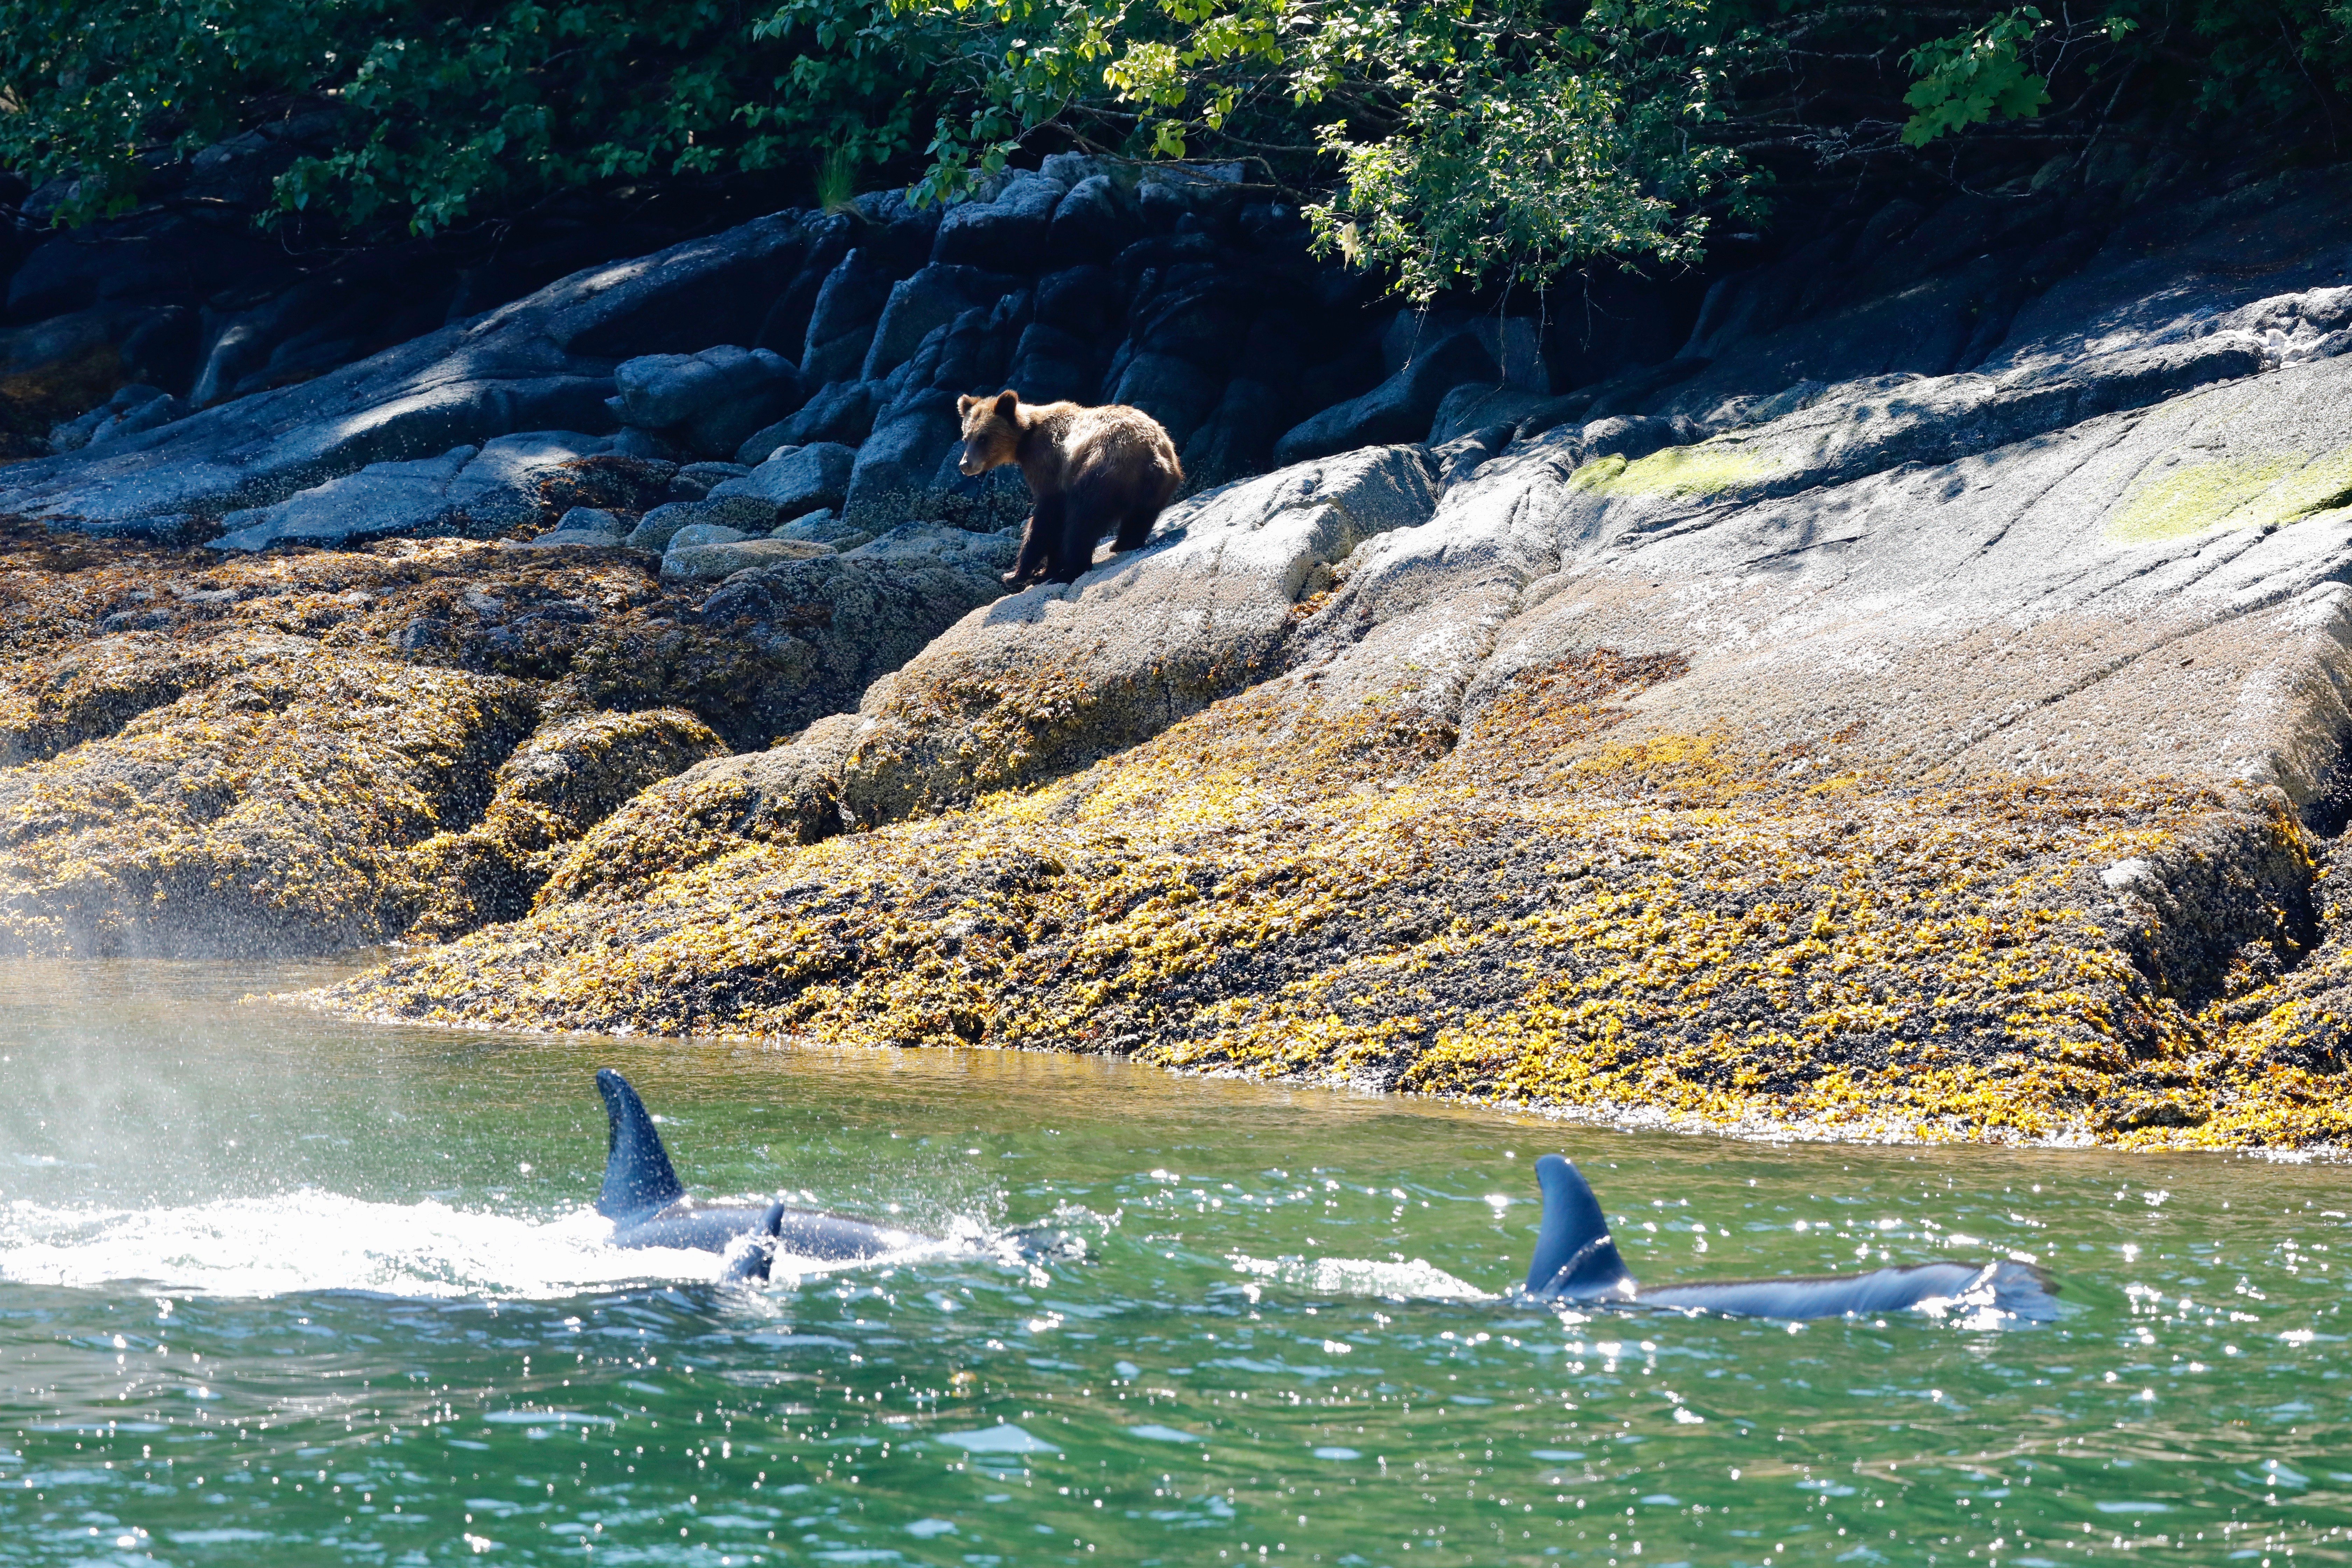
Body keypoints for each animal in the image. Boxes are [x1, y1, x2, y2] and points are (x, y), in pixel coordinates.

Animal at [955, 389, 1183, 585]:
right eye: (966, 437)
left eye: (983, 437)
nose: (965, 465)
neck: (1025, 439)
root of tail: (1152, 457)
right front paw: (1044, 570)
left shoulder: (1047, 465)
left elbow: (1047, 517)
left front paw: (1017, 574)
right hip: (1159, 485)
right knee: (1139, 518)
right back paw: (1122, 544)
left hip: (1101, 473)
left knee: (1081, 520)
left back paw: (1072, 570)